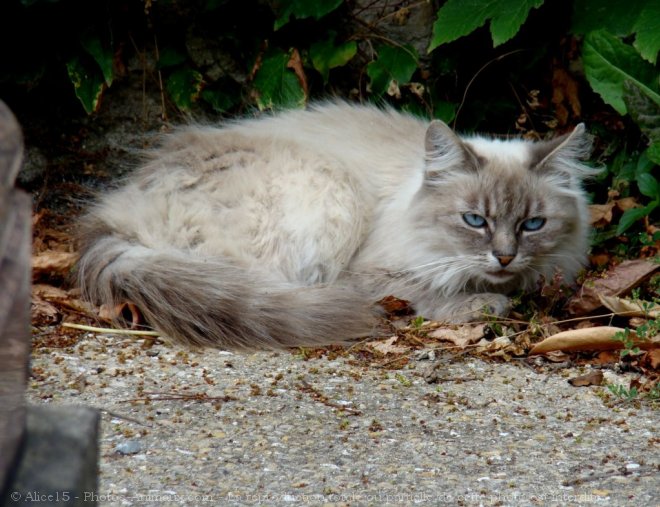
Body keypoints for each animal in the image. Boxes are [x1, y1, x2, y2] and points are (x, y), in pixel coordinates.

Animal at [77, 101, 592, 352]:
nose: (504, 257)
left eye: (533, 224)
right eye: (474, 220)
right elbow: (434, 293)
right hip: (332, 194)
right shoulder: (378, 272)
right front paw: (487, 303)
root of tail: (118, 217)